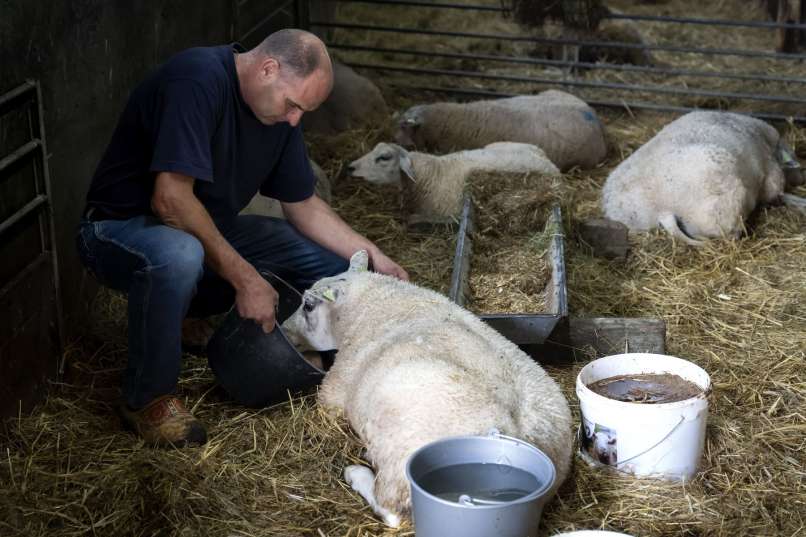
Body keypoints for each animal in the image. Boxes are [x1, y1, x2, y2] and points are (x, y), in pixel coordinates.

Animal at [284, 252, 576, 528]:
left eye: (308, 305)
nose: (284, 330)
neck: (371, 303)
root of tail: (518, 434)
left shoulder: (334, 390)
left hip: (399, 460)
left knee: (391, 511)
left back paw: (356, 473)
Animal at [604, 111, 804, 245]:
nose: (800, 175)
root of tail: (662, 208)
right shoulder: (771, 177)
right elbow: (777, 194)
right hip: (726, 210)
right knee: (730, 234)